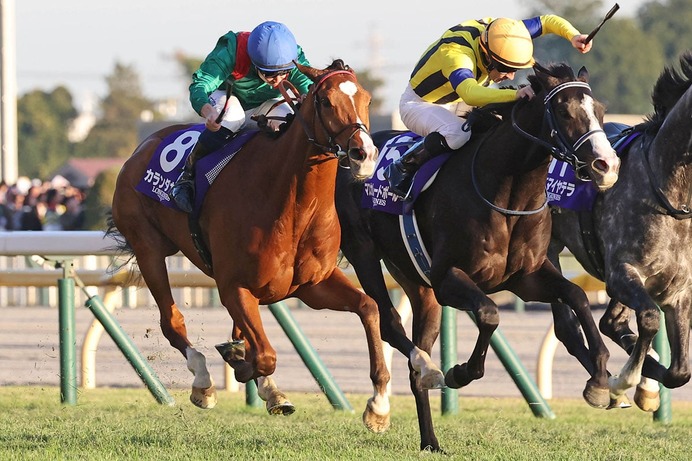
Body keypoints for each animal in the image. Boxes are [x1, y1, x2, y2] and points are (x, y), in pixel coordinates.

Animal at [106, 59, 393, 432]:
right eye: (326, 102)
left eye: (367, 100)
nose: (365, 154)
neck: (292, 203)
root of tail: (140, 149)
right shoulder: (235, 286)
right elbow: (265, 356)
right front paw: (241, 366)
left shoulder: (312, 285)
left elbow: (369, 307)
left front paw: (379, 406)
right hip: (148, 248)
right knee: (172, 322)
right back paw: (204, 382)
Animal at [335, 62, 621, 451]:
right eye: (564, 111)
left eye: (601, 111)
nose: (606, 165)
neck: (508, 194)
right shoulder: (448, 278)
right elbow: (489, 314)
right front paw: (460, 372)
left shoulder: (526, 278)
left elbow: (576, 295)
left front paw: (600, 380)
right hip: (364, 253)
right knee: (390, 324)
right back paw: (408, 385)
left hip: (416, 281)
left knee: (415, 352)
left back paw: (430, 439)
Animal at [548, 52, 692, 412]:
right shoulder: (621, 272)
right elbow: (650, 319)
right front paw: (622, 382)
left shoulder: (678, 287)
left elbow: (680, 371)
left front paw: (646, 386)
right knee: (569, 327)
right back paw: (603, 384)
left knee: (611, 322)